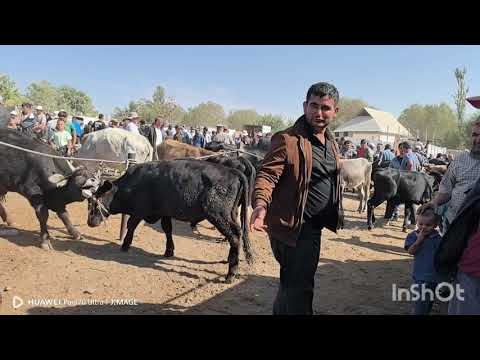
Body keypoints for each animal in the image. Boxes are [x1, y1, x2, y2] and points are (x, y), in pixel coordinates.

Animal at [85, 160, 255, 282]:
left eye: (97, 200)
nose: (90, 222)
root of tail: (233, 171)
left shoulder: (139, 211)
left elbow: (131, 225)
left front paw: (125, 245)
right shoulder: (164, 212)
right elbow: (167, 229)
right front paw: (169, 250)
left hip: (218, 215)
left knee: (234, 235)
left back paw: (231, 273)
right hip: (231, 214)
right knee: (238, 234)